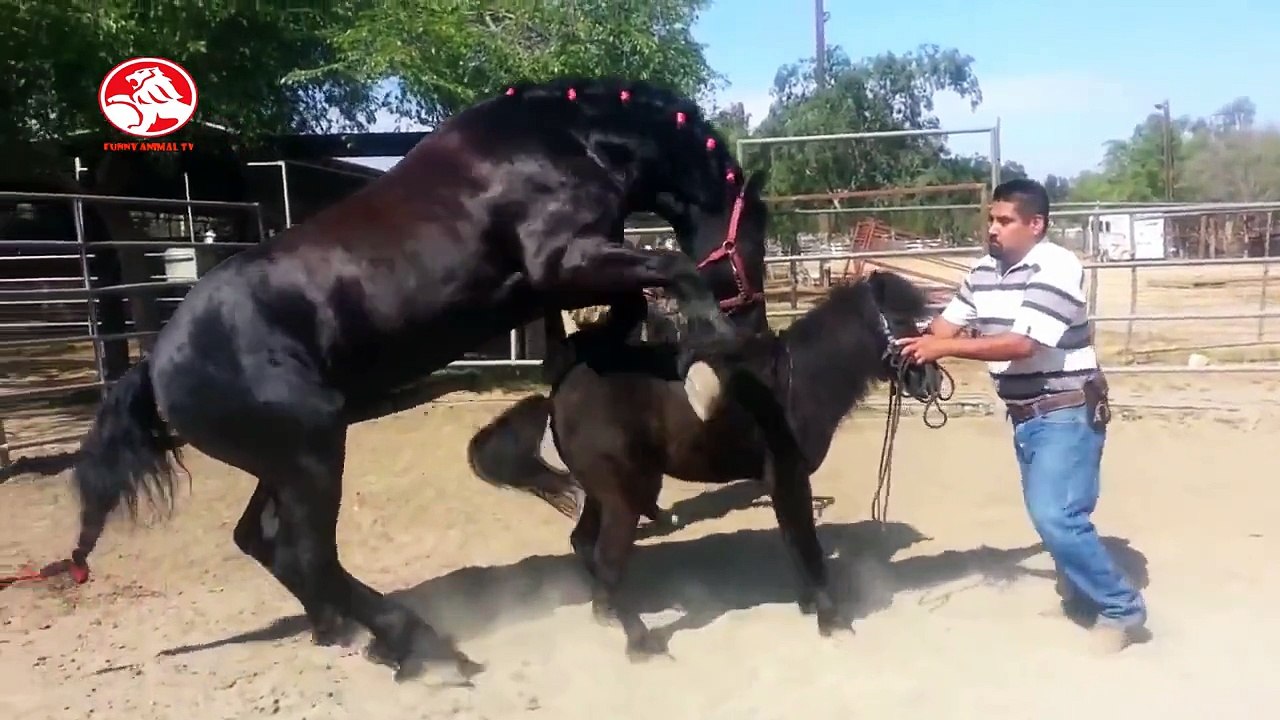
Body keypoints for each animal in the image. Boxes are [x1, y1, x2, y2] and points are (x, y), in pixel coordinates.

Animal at [52, 77, 779, 683]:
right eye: (760, 232)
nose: (755, 324)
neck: (564, 143)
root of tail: (156, 364)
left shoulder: (562, 279)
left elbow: (620, 313)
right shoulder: (565, 261)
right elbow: (669, 272)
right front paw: (706, 347)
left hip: (285, 458)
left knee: (265, 543)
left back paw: (348, 632)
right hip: (314, 450)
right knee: (305, 555)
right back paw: (423, 648)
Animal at [466, 269, 946, 659]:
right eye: (902, 321)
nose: (932, 381)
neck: (795, 383)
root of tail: (560, 393)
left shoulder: (780, 483)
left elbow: (795, 542)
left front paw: (811, 605)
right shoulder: (790, 478)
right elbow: (807, 546)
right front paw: (833, 620)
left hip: (605, 494)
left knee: (583, 544)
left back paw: (606, 613)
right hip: (624, 497)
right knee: (607, 558)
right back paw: (641, 643)